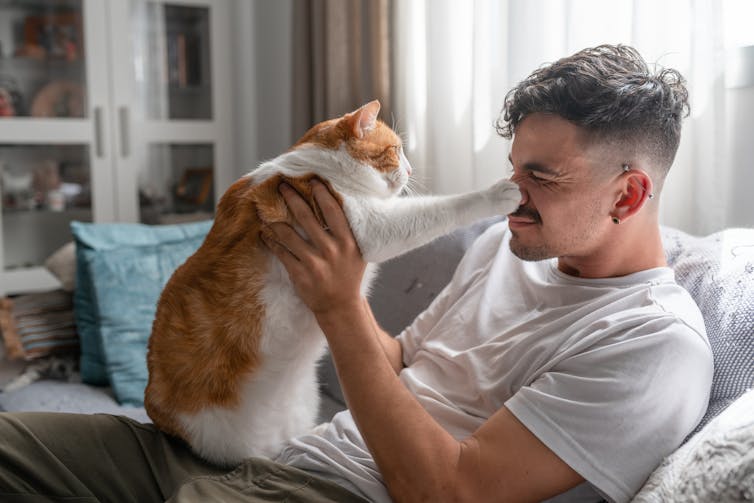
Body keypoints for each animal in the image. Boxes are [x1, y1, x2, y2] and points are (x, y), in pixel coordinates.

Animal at [144, 100, 520, 466]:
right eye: (396, 150)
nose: (412, 171)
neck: (320, 168)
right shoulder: (374, 227)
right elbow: (440, 208)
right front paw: (495, 194)